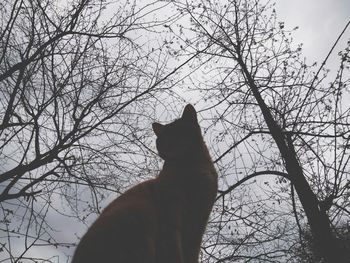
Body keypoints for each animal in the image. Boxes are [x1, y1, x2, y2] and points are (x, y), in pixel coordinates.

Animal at [72, 105, 217, 263]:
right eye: (162, 140)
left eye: (177, 133)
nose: (167, 147)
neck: (195, 165)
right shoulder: (171, 216)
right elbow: (174, 251)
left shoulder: (199, 222)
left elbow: (192, 254)